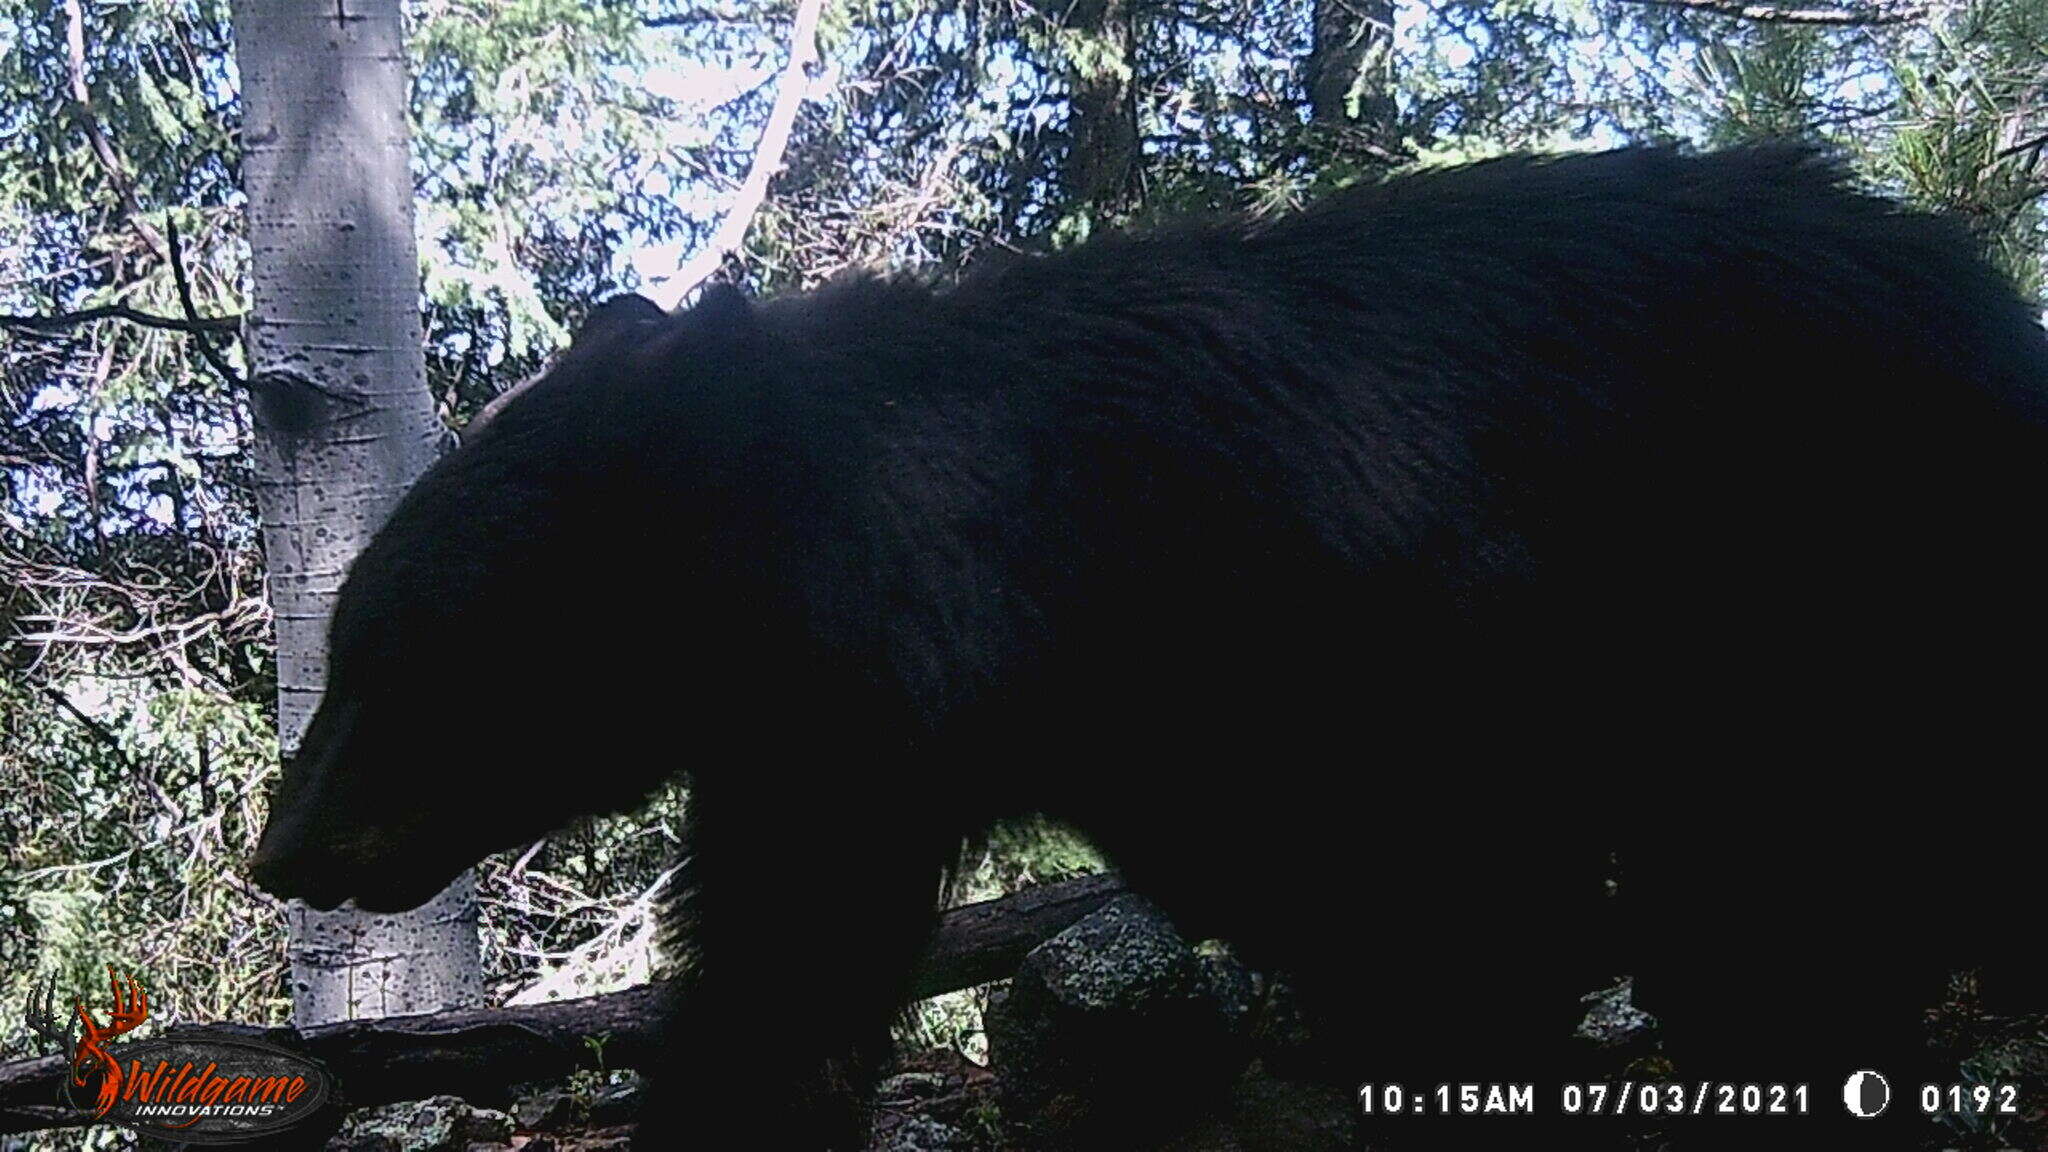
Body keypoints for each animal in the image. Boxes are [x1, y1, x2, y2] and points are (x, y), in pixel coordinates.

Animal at [251, 147, 2048, 1139]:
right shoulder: (884, 744)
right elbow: (791, 965)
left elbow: (1458, 910)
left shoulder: (1345, 637)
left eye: (382, 657)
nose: (281, 848)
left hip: (1838, 591)